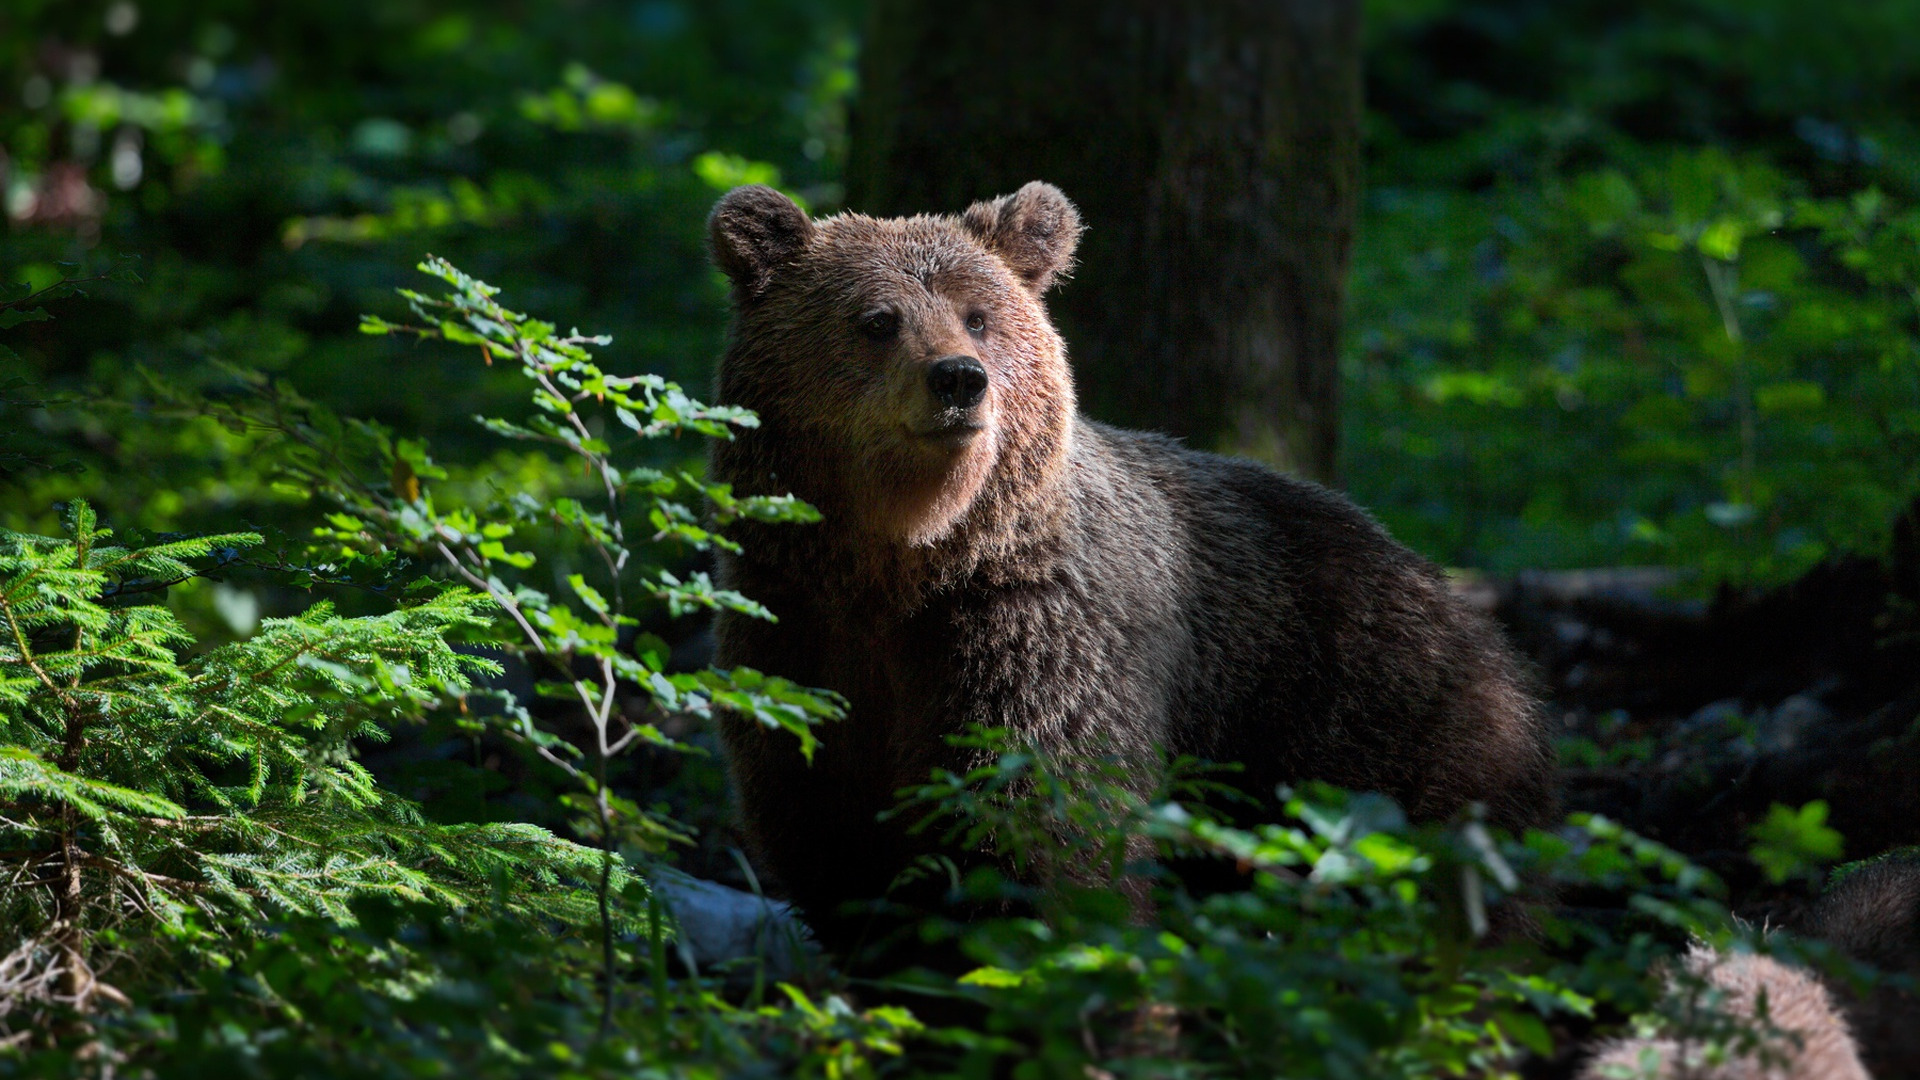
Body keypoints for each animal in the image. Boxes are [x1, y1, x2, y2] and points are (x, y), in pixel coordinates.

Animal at [706, 180, 1559, 937]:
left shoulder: (1035, 635)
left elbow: (1043, 833)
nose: (957, 379)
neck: (906, 561)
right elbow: (833, 847)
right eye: (878, 319)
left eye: (979, 317)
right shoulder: (795, 635)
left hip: (1371, 721)